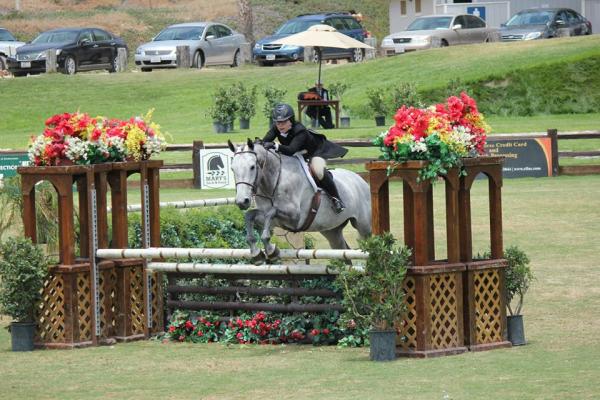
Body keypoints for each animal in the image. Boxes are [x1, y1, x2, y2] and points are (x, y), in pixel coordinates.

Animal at [229, 139, 370, 264]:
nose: (242, 201)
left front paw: (271, 251)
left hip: (364, 226)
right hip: (331, 231)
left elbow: (271, 213)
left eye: (252, 167)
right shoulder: (273, 220)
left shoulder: (295, 218)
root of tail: (361, 180)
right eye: (232, 169)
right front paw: (256, 254)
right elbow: (250, 215)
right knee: (344, 253)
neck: (272, 182)